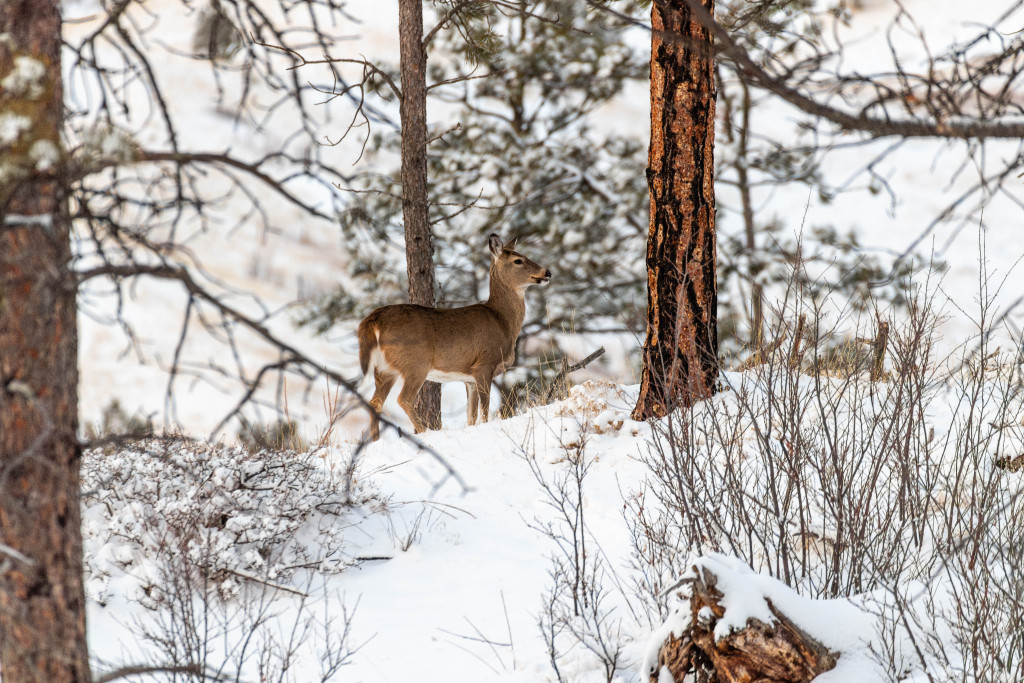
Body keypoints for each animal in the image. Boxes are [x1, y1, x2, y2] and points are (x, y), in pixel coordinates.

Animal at [360, 232, 552, 440]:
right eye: (518, 260)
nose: (547, 272)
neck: (502, 320)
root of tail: (374, 319)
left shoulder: (469, 378)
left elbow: (471, 415)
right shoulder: (484, 364)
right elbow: (484, 411)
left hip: (384, 368)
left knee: (375, 402)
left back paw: (374, 441)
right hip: (415, 362)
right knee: (403, 399)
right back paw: (425, 433)